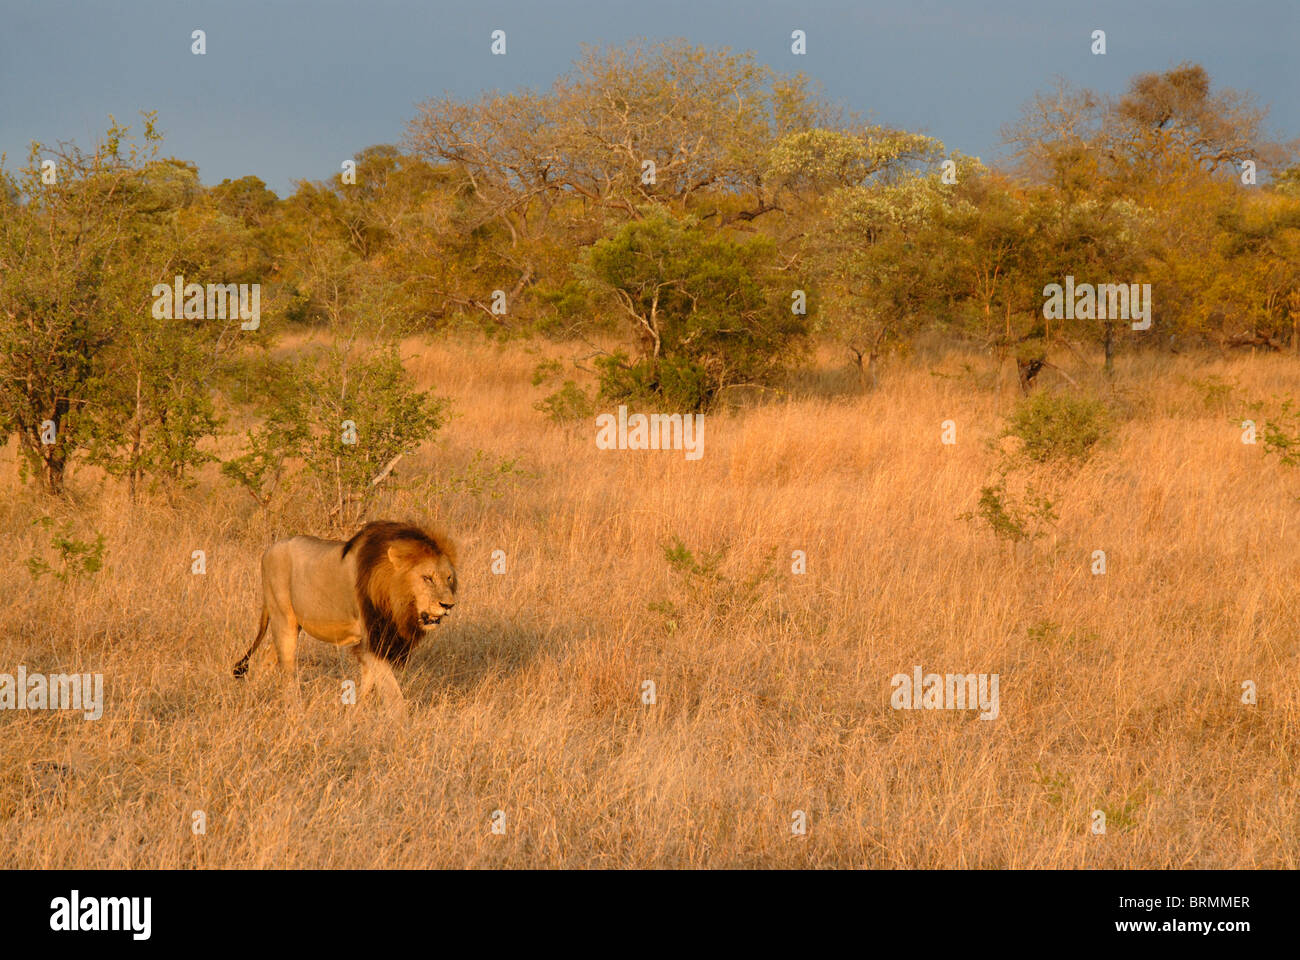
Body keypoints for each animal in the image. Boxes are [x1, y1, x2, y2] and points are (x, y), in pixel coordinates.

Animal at [233, 520, 458, 714]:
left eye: (449, 578)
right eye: (427, 578)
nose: (448, 605)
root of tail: (268, 550)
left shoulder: (377, 641)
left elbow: (369, 683)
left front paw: (356, 712)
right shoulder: (371, 641)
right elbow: (392, 692)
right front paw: (402, 724)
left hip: (292, 624)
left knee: (268, 657)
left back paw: (256, 690)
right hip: (283, 618)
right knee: (287, 669)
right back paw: (292, 707)